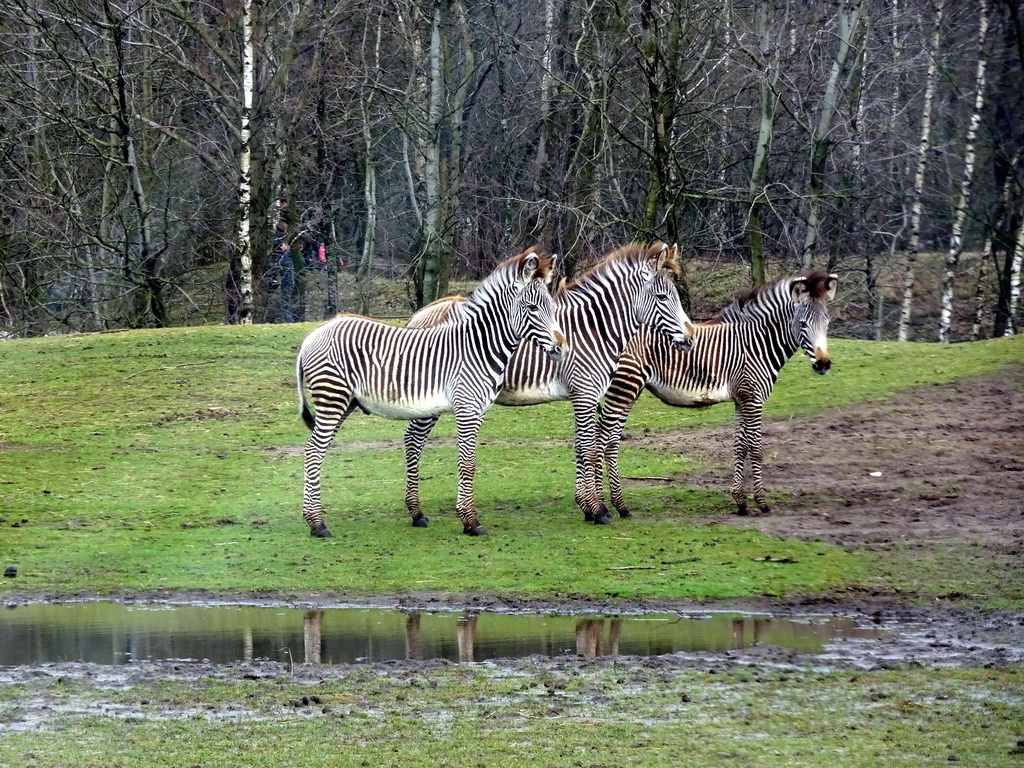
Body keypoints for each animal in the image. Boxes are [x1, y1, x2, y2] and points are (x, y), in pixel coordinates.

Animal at [296, 249, 569, 536]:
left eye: (552, 308)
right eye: (532, 308)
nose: (562, 348)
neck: (480, 345)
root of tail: (312, 336)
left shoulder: (479, 409)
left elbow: (467, 461)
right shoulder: (467, 408)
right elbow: (467, 463)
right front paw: (471, 521)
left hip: (344, 402)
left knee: (317, 449)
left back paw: (315, 519)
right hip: (332, 398)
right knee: (314, 450)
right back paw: (317, 524)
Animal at [403, 243, 692, 528]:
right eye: (663, 298)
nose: (689, 339)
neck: (594, 331)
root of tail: (420, 314)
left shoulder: (583, 396)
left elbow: (581, 448)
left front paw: (586, 508)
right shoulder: (586, 394)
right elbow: (588, 449)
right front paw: (599, 511)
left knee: (414, 439)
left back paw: (417, 512)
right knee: (413, 440)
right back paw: (416, 513)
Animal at [598, 268, 835, 518]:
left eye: (827, 322)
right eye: (802, 324)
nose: (823, 364)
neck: (757, 343)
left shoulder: (742, 399)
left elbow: (741, 448)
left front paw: (740, 502)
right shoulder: (753, 399)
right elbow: (756, 449)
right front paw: (762, 503)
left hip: (628, 389)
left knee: (611, 441)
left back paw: (618, 506)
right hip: (624, 387)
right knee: (601, 438)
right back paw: (601, 509)